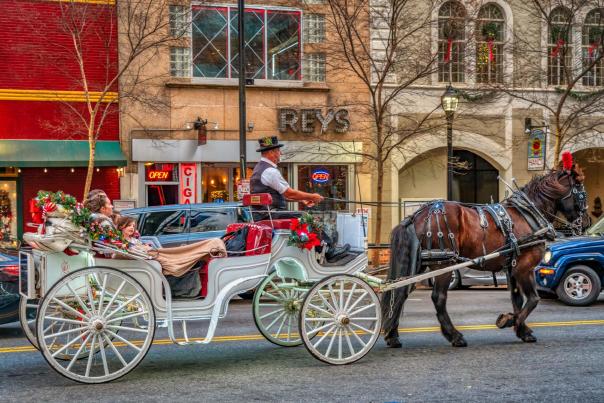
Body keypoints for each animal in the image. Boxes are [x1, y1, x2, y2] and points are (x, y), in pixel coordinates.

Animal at [384, 163, 588, 348]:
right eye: (581, 193)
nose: (585, 222)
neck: (528, 214)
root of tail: (417, 215)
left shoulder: (512, 267)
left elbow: (518, 299)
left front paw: (522, 330)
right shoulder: (525, 267)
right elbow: (533, 299)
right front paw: (510, 321)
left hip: (420, 263)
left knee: (401, 292)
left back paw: (392, 336)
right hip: (444, 264)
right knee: (438, 298)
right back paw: (455, 336)